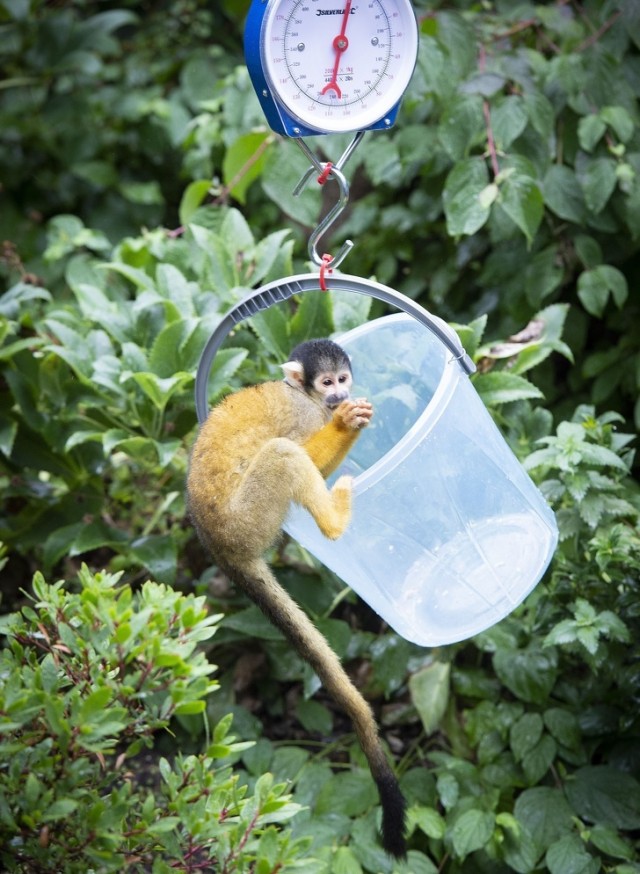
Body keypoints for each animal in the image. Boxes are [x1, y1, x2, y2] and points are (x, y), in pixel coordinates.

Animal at [186, 338, 404, 856]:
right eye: (326, 383)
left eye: (343, 379)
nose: (339, 395)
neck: (303, 395)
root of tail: (221, 548)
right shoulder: (305, 415)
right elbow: (305, 451)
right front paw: (345, 424)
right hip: (250, 517)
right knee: (284, 455)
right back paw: (333, 521)